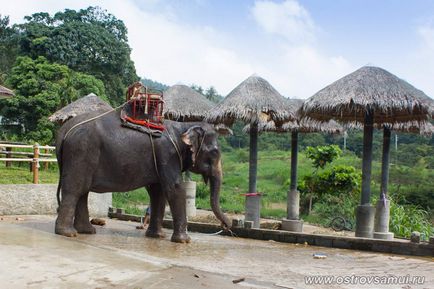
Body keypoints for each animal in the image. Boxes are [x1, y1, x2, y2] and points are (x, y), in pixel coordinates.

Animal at [54, 109, 231, 242]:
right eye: (215, 153)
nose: (227, 227)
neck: (183, 126)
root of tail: (64, 130)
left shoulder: (160, 159)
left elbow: (158, 192)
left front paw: (157, 236)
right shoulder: (168, 155)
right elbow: (174, 188)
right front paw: (184, 241)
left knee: (82, 191)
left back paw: (86, 231)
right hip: (81, 151)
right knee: (75, 189)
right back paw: (68, 233)